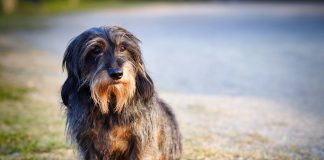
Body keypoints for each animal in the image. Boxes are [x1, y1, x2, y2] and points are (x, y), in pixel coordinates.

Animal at [60, 25, 182, 159]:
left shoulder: (141, 140)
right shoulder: (88, 143)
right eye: (96, 50)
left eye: (123, 47)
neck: (111, 104)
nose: (117, 74)